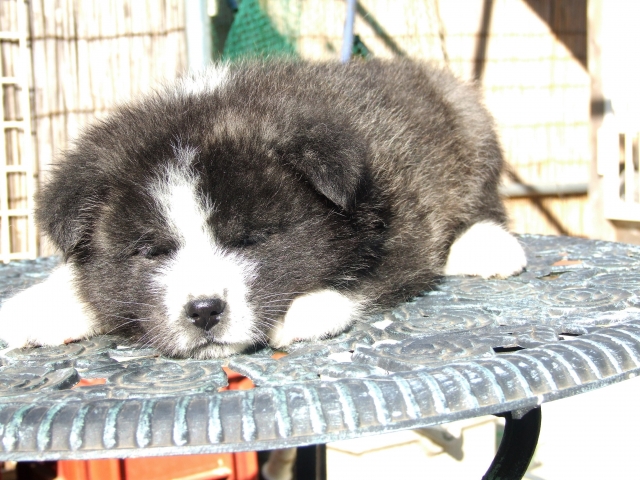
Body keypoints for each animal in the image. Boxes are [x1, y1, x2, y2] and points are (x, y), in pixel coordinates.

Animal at [0, 60, 524, 358]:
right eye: (153, 251)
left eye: (250, 238)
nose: (203, 310)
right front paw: (42, 304)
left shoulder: (408, 216)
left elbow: (375, 273)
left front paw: (307, 306)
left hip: (470, 124)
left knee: (484, 201)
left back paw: (487, 245)